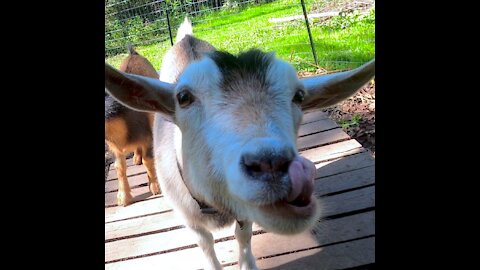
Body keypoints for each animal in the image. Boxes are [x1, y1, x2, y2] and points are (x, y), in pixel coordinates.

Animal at [104, 45, 160, 206]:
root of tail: (133, 53)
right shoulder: (114, 147)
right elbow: (119, 167)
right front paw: (123, 197)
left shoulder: (147, 137)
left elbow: (149, 161)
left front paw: (155, 187)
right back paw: (136, 157)